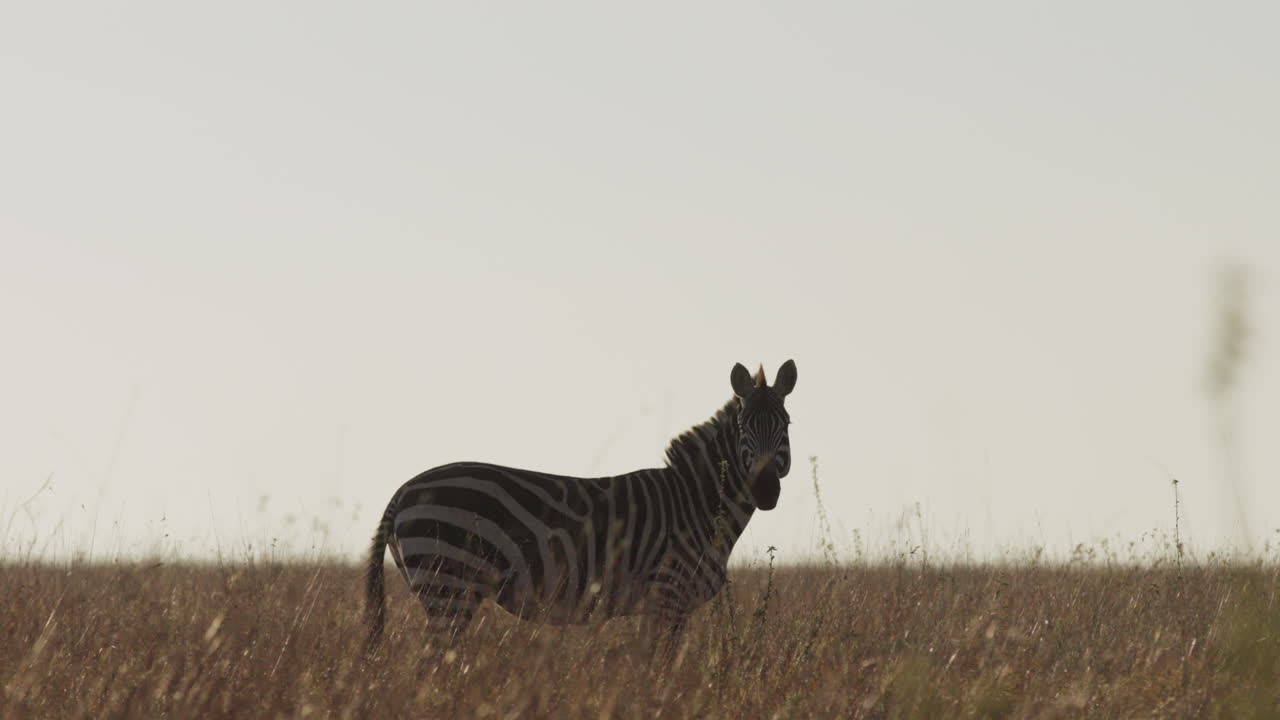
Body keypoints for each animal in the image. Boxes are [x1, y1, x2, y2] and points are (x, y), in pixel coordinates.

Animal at [365, 360, 797, 652]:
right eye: (742, 427)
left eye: (787, 424)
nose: (766, 490)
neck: (696, 502)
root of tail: (402, 491)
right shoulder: (668, 595)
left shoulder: (663, 606)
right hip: (448, 583)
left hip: (443, 588)